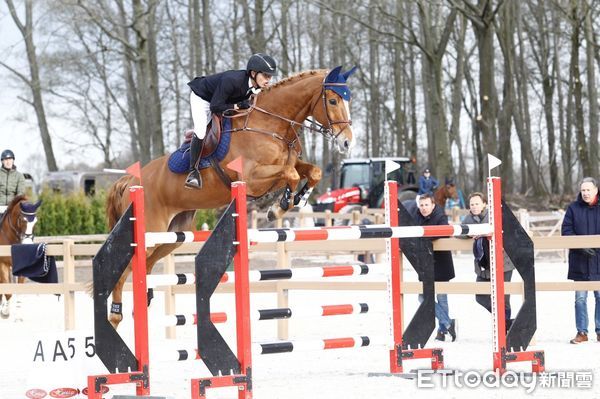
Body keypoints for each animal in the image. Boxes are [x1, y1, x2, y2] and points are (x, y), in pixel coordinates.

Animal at [104, 65, 356, 328]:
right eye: (333, 100)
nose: (347, 142)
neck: (271, 123)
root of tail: (129, 181)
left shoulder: (288, 164)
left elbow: (311, 172)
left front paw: (297, 199)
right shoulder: (252, 178)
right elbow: (292, 174)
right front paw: (279, 206)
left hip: (172, 235)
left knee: (146, 264)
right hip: (150, 231)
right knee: (124, 271)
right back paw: (115, 314)